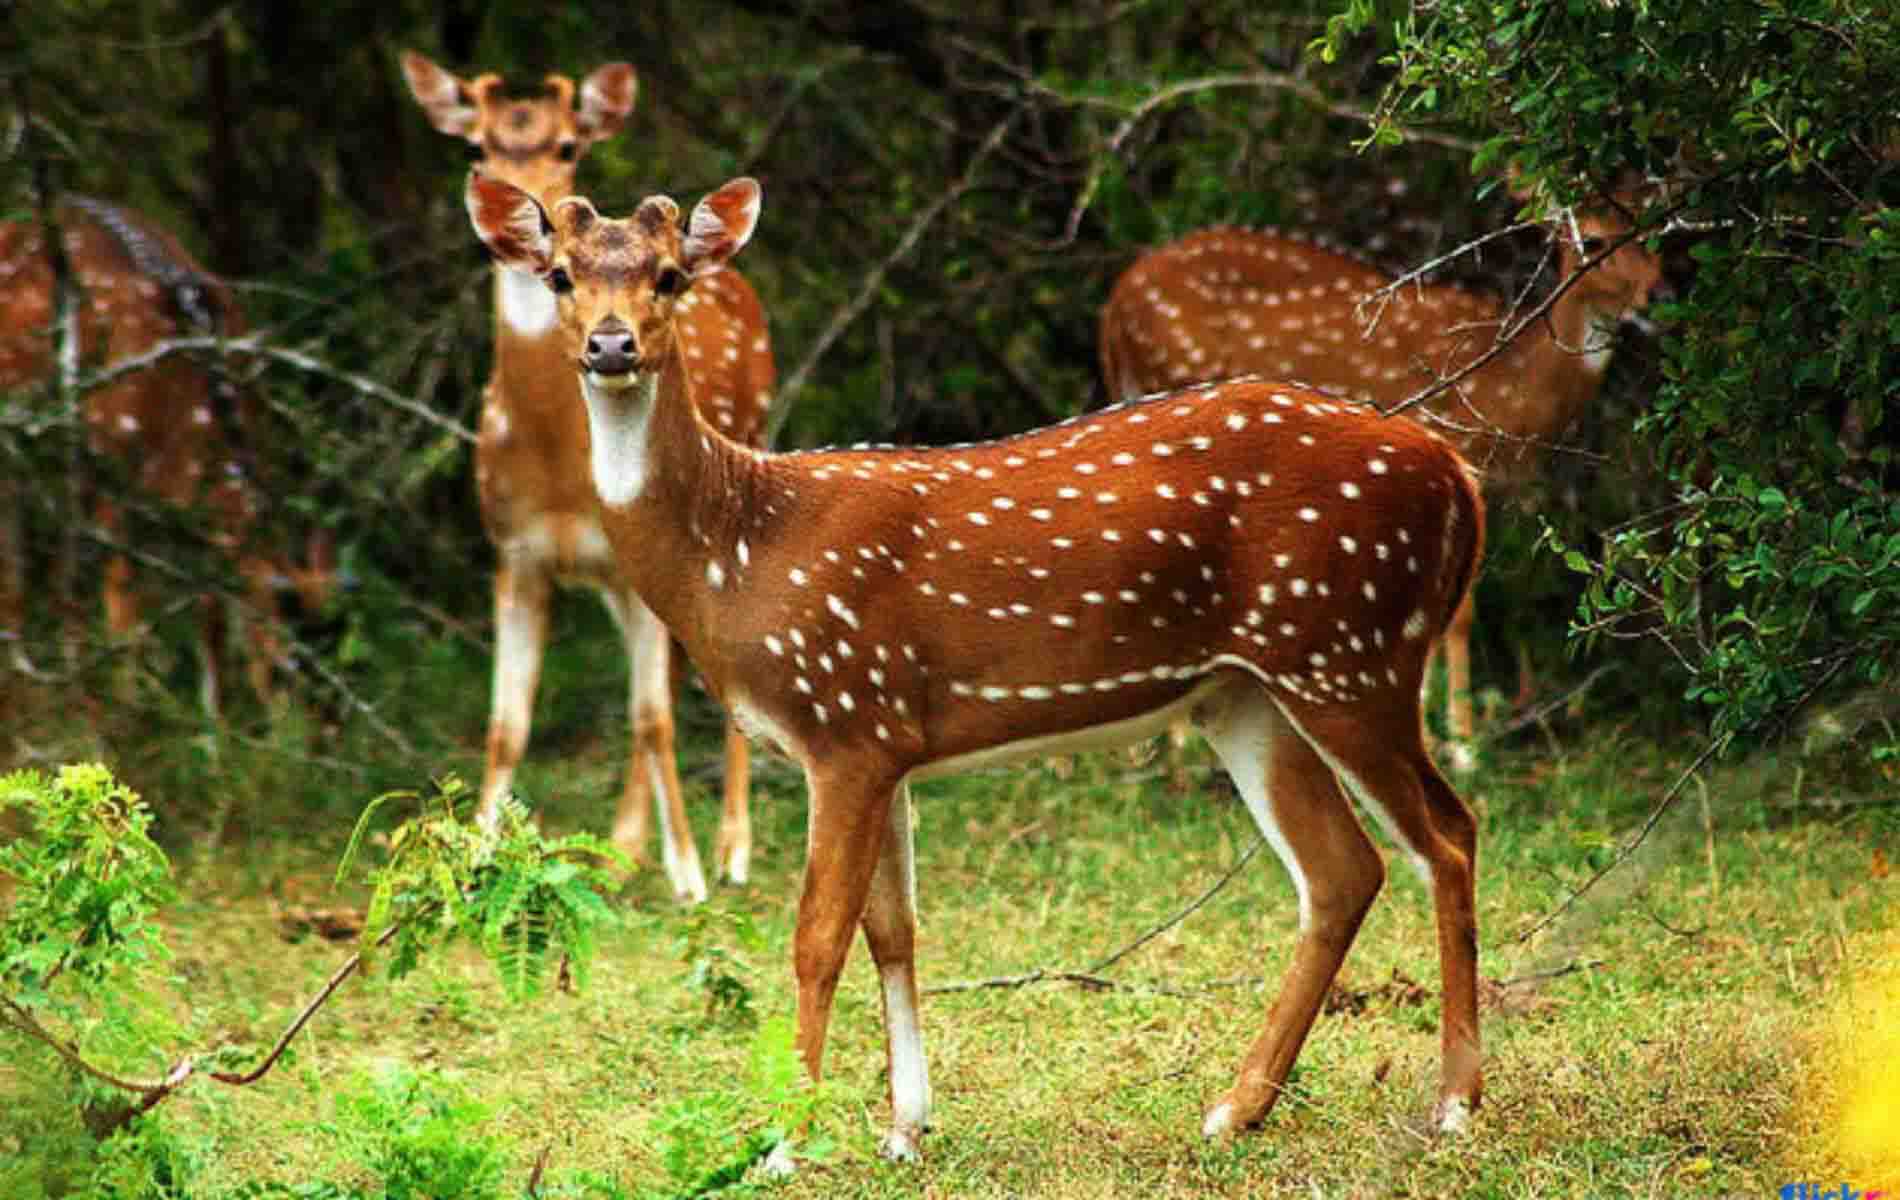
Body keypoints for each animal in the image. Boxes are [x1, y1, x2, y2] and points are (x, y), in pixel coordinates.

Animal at [0, 196, 334, 713]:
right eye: (285, 674)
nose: (315, 734)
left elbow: (210, 615)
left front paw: (215, 724)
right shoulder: (111, 457)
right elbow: (122, 600)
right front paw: (126, 707)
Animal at [402, 56, 779, 900]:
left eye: (568, 146)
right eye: (475, 147)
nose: (524, 219)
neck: (560, 473)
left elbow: (652, 718)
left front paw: (690, 875)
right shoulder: (513, 552)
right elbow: (507, 727)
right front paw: (477, 857)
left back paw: (732, 848)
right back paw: (623, 848)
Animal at [467, 168, 1489, 1162]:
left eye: (672, 275)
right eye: (559, 275)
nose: (610, 345)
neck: (736, 552)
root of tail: (1459, 478)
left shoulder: (843, 719)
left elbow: (817, 938)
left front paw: (784, 1140)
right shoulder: (886, 740)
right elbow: (894, 930)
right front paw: (905, 1127)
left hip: (1350, 651)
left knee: (1447, 833)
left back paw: (1453, 1104)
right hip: (1249, 693)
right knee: (1343, 871)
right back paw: (1235, 1111)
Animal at [1102, 199, 1664, 759]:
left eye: (1650, 229)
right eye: (1592, 240)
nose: (1654, 294)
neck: (1514, 393)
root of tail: (1115, 301)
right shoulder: (1449, 446)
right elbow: (1458, 615)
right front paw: (1462, 745)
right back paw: (1179, 749)